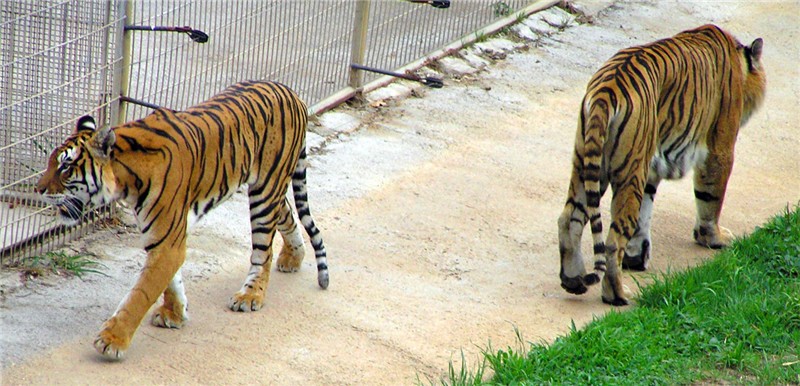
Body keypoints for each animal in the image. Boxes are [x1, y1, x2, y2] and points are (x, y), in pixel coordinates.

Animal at [36, 80, 332, 360]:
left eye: (65, 167)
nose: (38, 189)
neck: (125, 178)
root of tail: (293, 93)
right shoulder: (160, 235)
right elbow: (169, 281)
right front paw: (175, 313)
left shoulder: (167, 239)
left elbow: (140, 294)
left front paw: (112, 341)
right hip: (269, 187)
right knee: (287, 211)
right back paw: (292, 258)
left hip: (265, 190)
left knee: (263, 251)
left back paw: (250, 295)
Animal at [556, 25, 768, 306]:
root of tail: (605, 91)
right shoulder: (719, 147)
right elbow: (711, 197)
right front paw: (714, 238)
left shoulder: (650, 165)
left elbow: (644, 214)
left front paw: (636, 256)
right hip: (629, 170)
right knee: (612, 240)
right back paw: (618, 295)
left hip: (588, 164)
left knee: (569, 218)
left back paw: (573, 280)